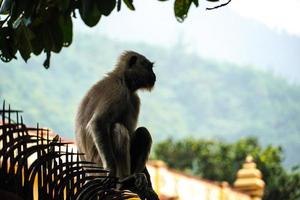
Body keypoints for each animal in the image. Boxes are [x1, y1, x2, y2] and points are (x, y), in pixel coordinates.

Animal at [75, 50, 159, 199]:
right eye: (149, 67)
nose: (154, 75)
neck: (122, 79)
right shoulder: (118, 91)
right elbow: (98, 123)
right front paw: (111, 170)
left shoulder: (133, 97)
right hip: (97, 164)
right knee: (118, 129)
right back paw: (125, 180)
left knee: (143, 132)